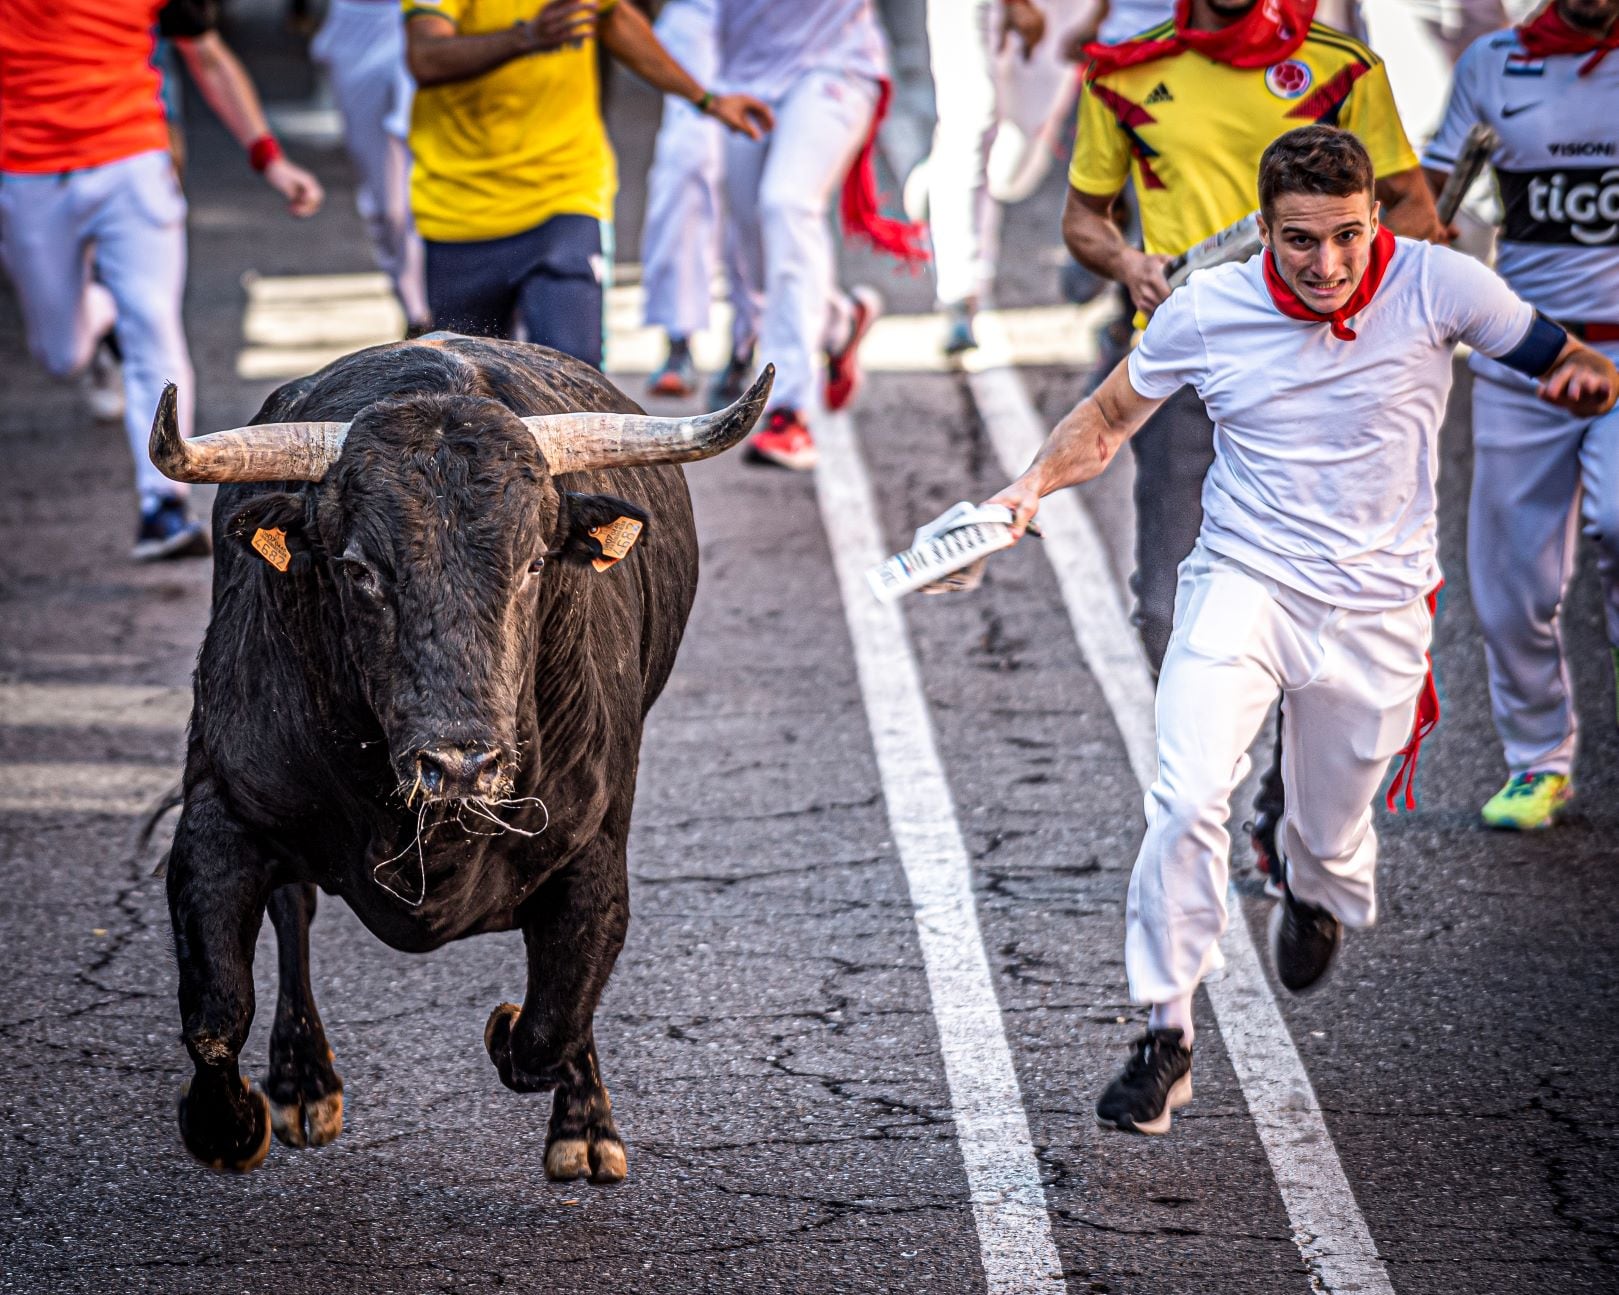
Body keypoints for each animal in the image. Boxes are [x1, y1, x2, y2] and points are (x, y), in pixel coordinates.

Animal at [156, 336, 770, 1184]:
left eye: (534, 564)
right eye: (358, 569)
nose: (460, 764)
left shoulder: (594, 847)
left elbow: (551, 1018)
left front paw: (551, 1083)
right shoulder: (220, 809)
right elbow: (217, 1006)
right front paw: (227, 1124)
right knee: (293, 909)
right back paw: (302, 1083)